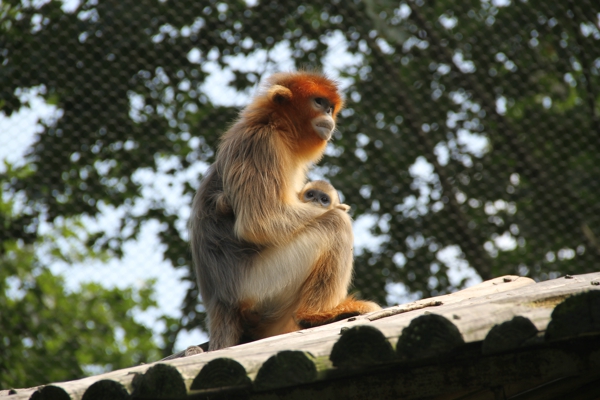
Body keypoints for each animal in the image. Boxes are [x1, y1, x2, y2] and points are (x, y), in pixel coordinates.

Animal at [191, 72, 380, 350]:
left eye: (330, 107)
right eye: (319, 102)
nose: (328, 114)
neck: (275, 126)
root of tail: (220, 303)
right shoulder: (261, 144)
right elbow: (260, 222)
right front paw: (339, 207)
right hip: (258, 285)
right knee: (336, 224)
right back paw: (315, 315)